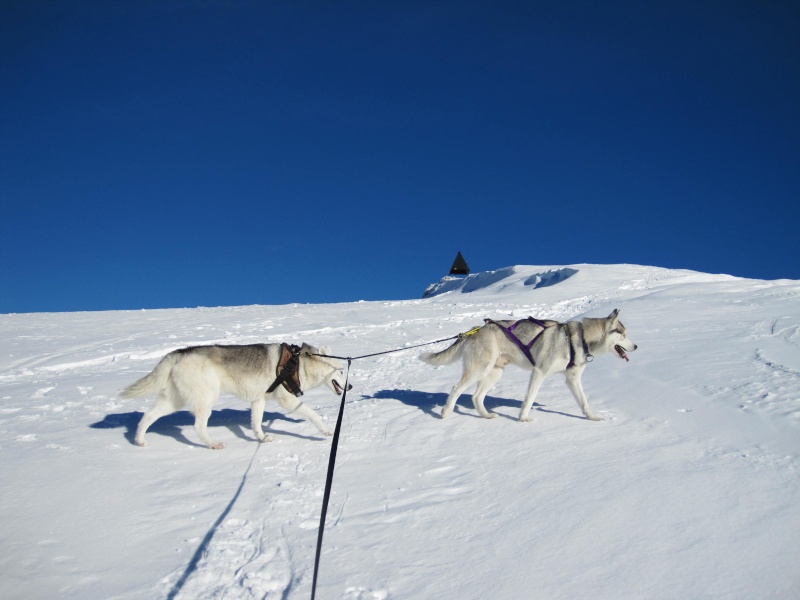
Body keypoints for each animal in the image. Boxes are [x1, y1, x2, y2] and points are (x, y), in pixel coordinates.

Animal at [120, 344, 348, 448]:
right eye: (342, 371)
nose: (351, 386)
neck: (299, 364)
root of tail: (178, 353)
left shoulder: (259, 400)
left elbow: (256, 423)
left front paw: (261, 438)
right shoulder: (288, 400)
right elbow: (312, 414)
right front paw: (327, 430)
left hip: (173, 401)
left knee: (147, 416)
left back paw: (139, 440)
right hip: (206, 400)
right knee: (198, 426)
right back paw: (212, 444)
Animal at [418, 312, 636, 420]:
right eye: (623, 335)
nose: (635, 346)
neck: (580, 338)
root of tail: (476, 329)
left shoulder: (572, 379)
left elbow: (584, 402)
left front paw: (592, 417)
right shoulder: (539, 372)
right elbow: (529, 399)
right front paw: (523, 418)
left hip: (494, 373)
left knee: (476, 397)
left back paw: (486, 415)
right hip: (479, 369)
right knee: (456, 389)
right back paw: (446, 412)